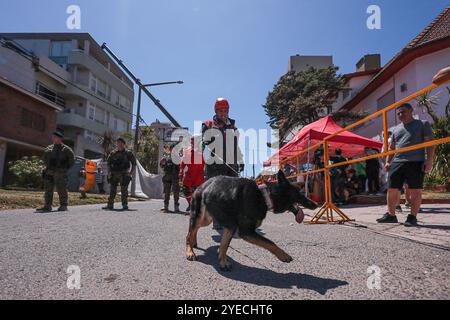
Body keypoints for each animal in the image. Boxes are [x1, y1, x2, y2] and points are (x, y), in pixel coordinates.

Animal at [185, 170, 318, 270]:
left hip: (206, 219)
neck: (264, 197)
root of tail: (201, 186)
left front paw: (222, 262)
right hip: (199, 216)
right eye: (299, 193)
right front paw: (283, 255)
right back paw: (190, 251)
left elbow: (224, 246)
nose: (316, 204)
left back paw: (193, 242)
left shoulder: (231, 228)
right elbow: (270, 242)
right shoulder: (246, 232)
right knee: (189, 234)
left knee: (194, 230)